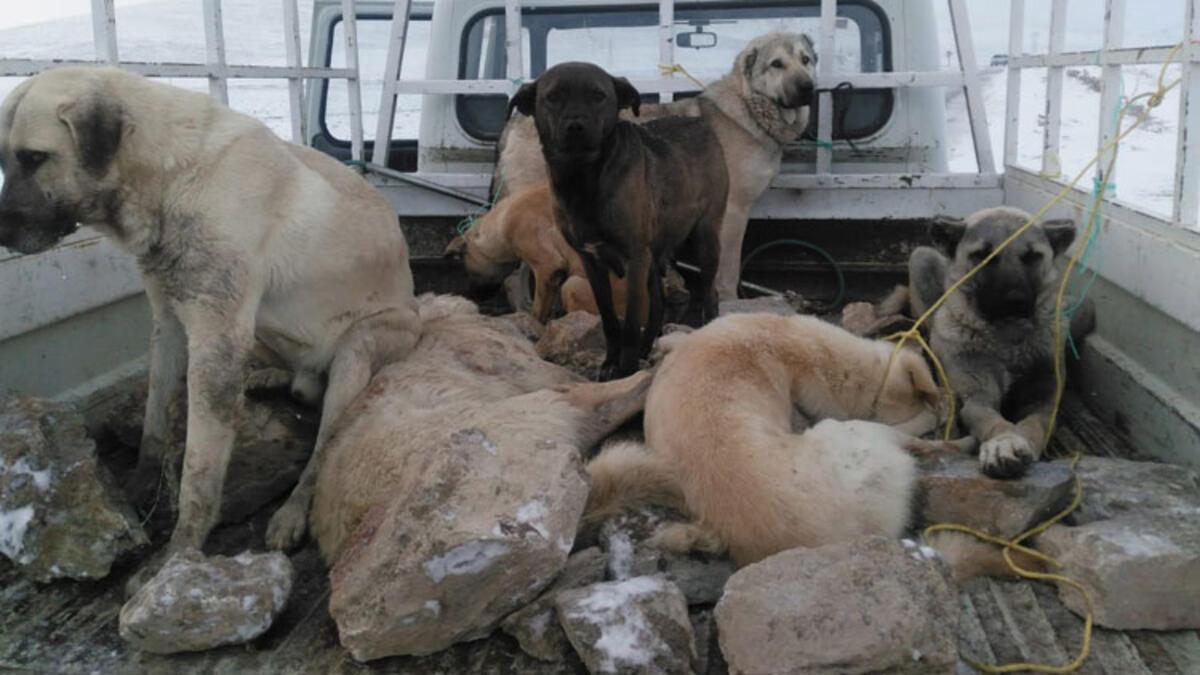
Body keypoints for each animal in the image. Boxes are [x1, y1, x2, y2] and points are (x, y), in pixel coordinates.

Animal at [508, 61, 729, 379]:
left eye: (598, 95)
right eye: (553, 96)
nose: (576, 126)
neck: (584, 179)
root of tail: (700, 123)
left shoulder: (635, 258)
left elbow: (631, 321)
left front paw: (625, 368)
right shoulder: (592, 262)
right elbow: (610, 319)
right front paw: (612, 362)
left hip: (701, 241)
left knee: (709, 293)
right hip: (657, 256)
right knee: (660, 306)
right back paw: (647, 349)